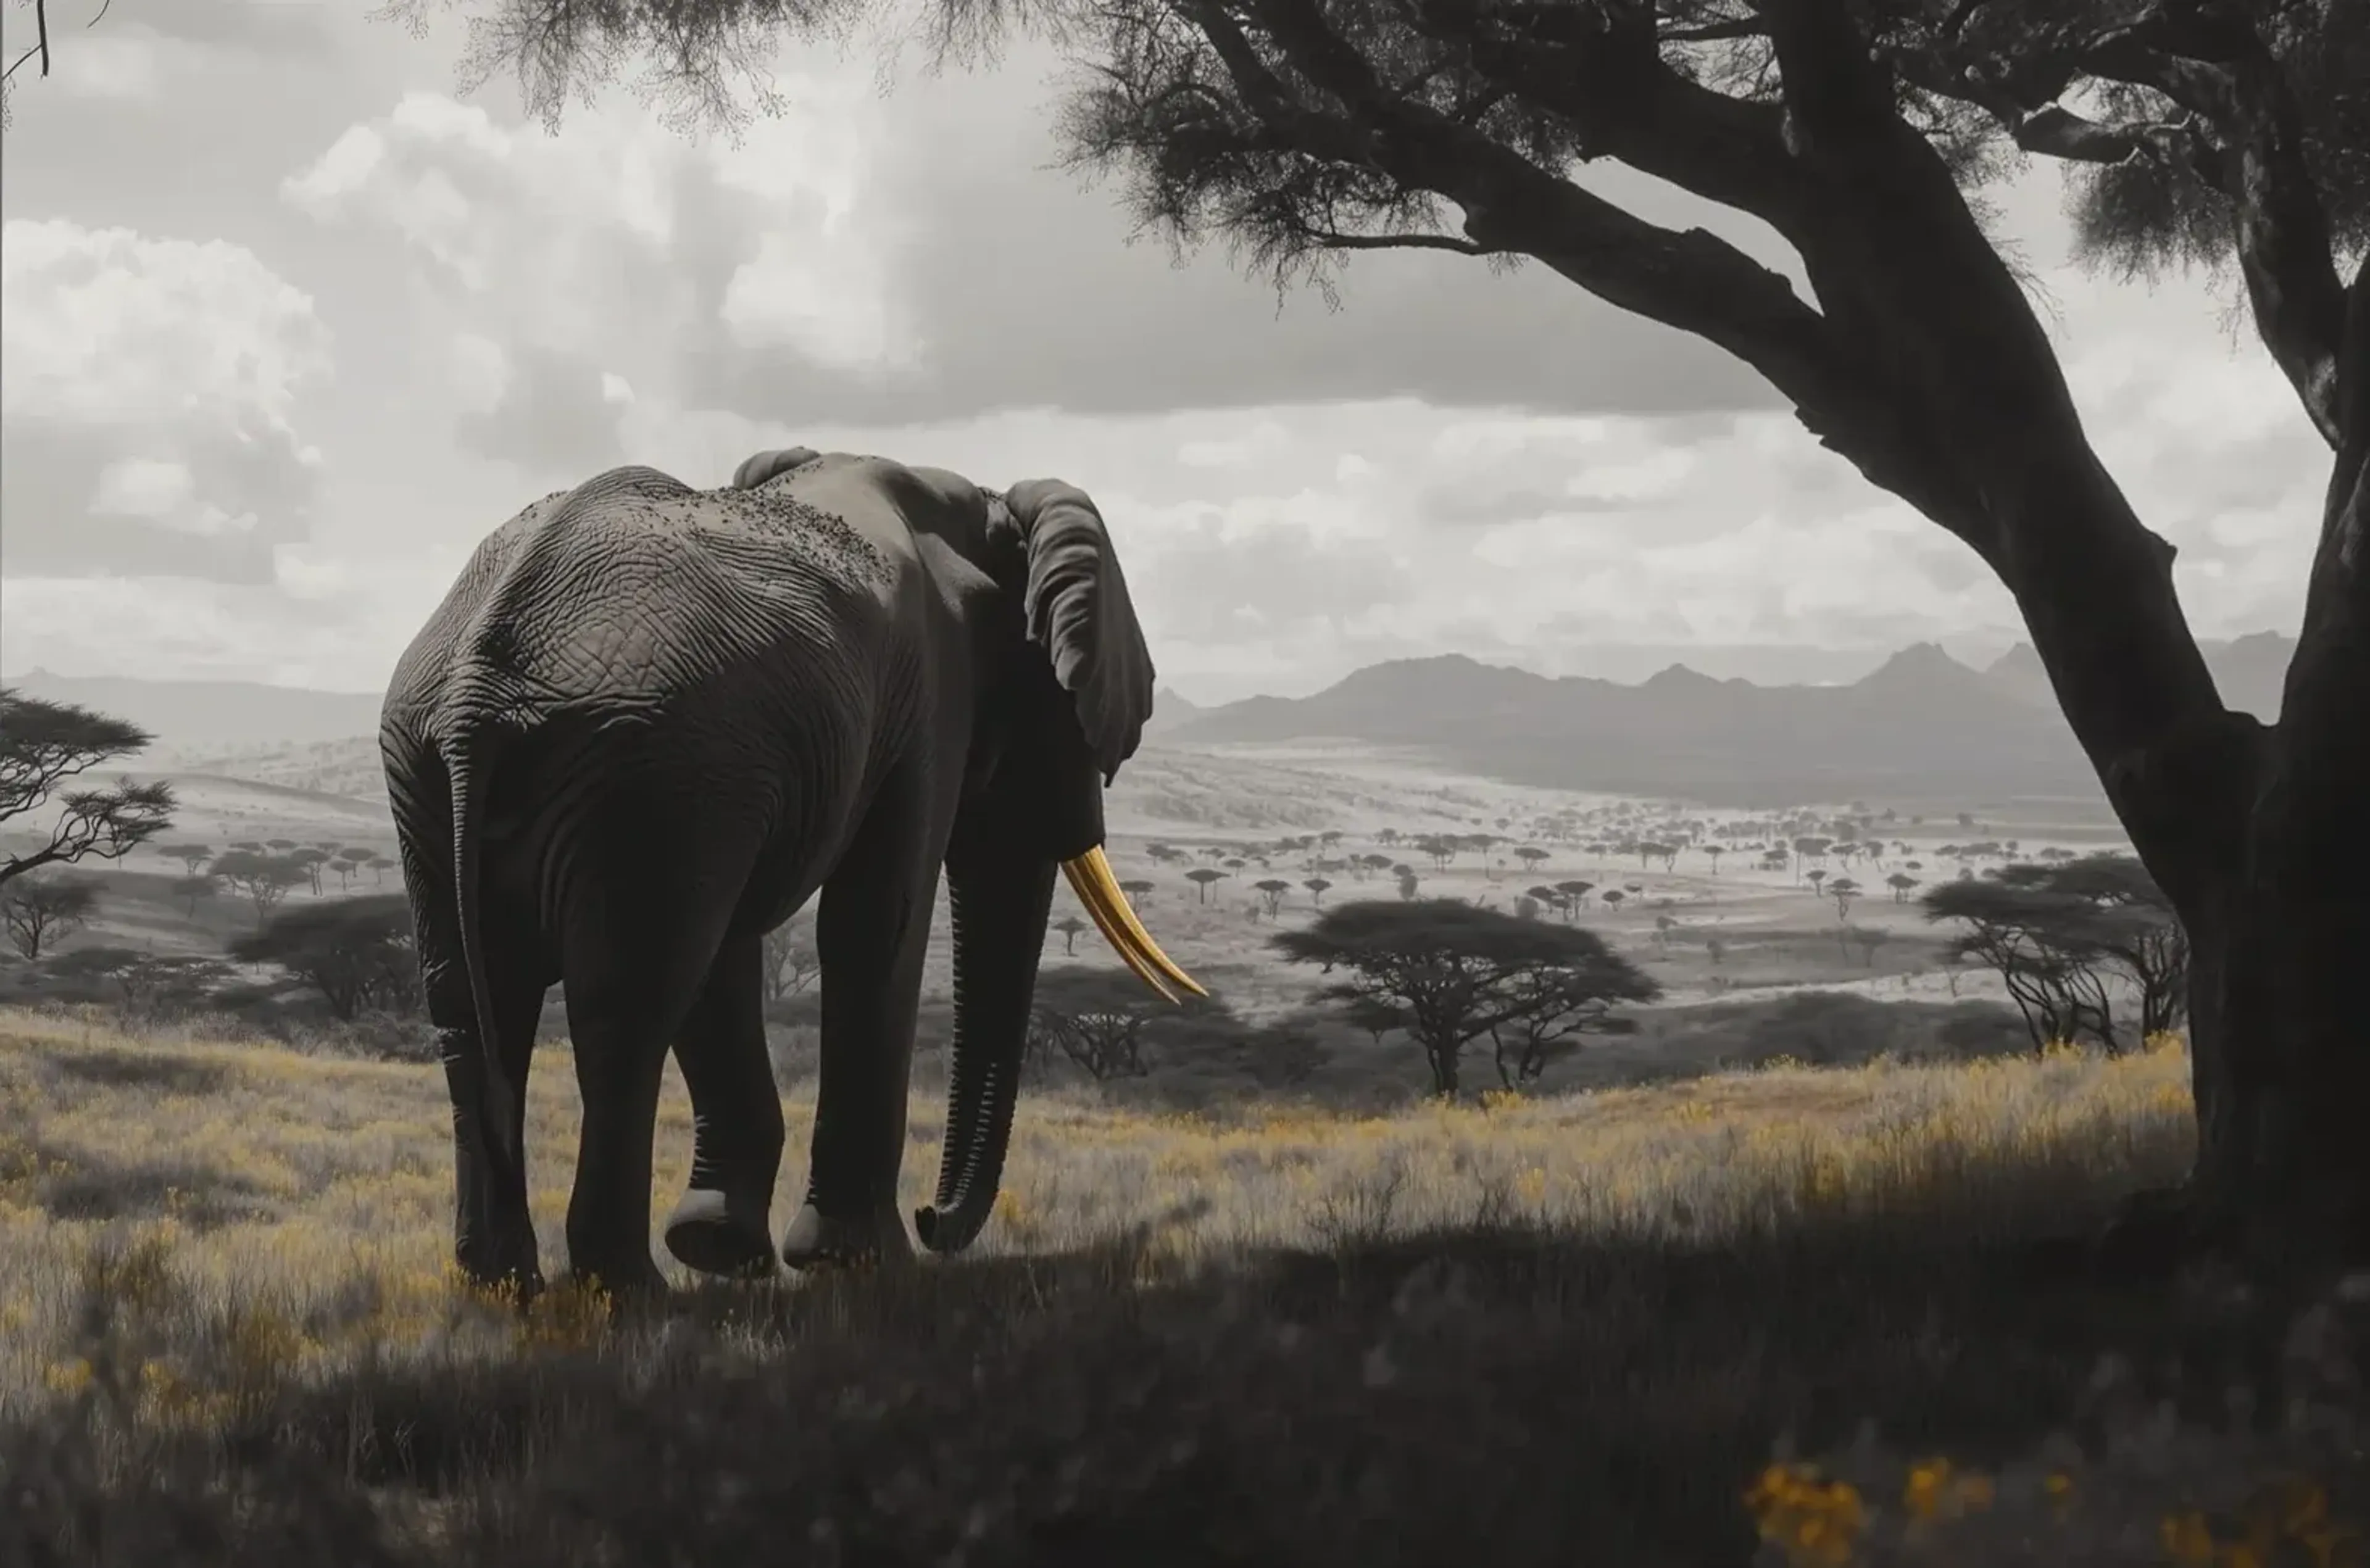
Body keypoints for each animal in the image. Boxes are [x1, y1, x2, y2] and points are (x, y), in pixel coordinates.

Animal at [379, 448, 1201, 1299]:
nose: (931, 1221)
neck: (981, 503)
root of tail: (477, 696)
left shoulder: (733, 789)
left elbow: (733, 954)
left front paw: (725, 1251)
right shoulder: (925, 698)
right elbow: (876, 924)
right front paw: (863, 1262)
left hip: (464, 771)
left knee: (474, 1002)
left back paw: (504, 1284)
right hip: (643, 765)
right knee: (625, 1007)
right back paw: (628, 1293)